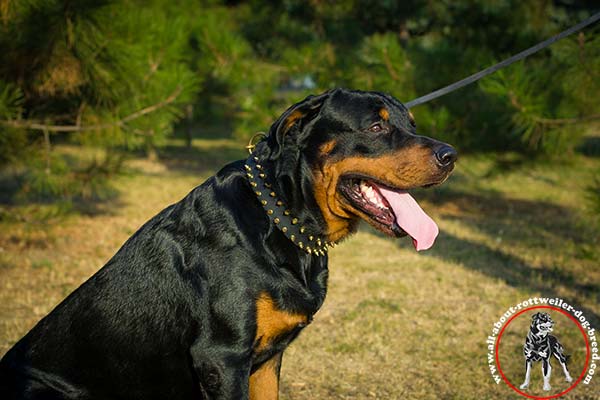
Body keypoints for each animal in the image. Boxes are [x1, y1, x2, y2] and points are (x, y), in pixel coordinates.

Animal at [0, 89, 458, 398]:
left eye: (412, 125)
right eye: (376, 126)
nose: (451, 155)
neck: (281, 221)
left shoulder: (265, 361)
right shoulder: (222, 357)